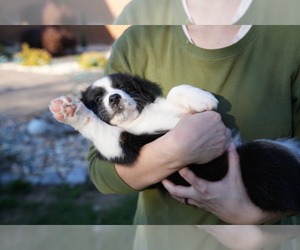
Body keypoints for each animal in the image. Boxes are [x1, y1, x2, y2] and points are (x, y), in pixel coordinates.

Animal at [50, 73, 300, 213]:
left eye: (125, 87)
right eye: (98, 99)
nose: (114, 98)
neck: (139, 120)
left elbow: (175, 90)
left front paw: (202, 98)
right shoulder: (120, 148)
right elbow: (98, 127)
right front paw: (72, 111)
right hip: (258, 159)